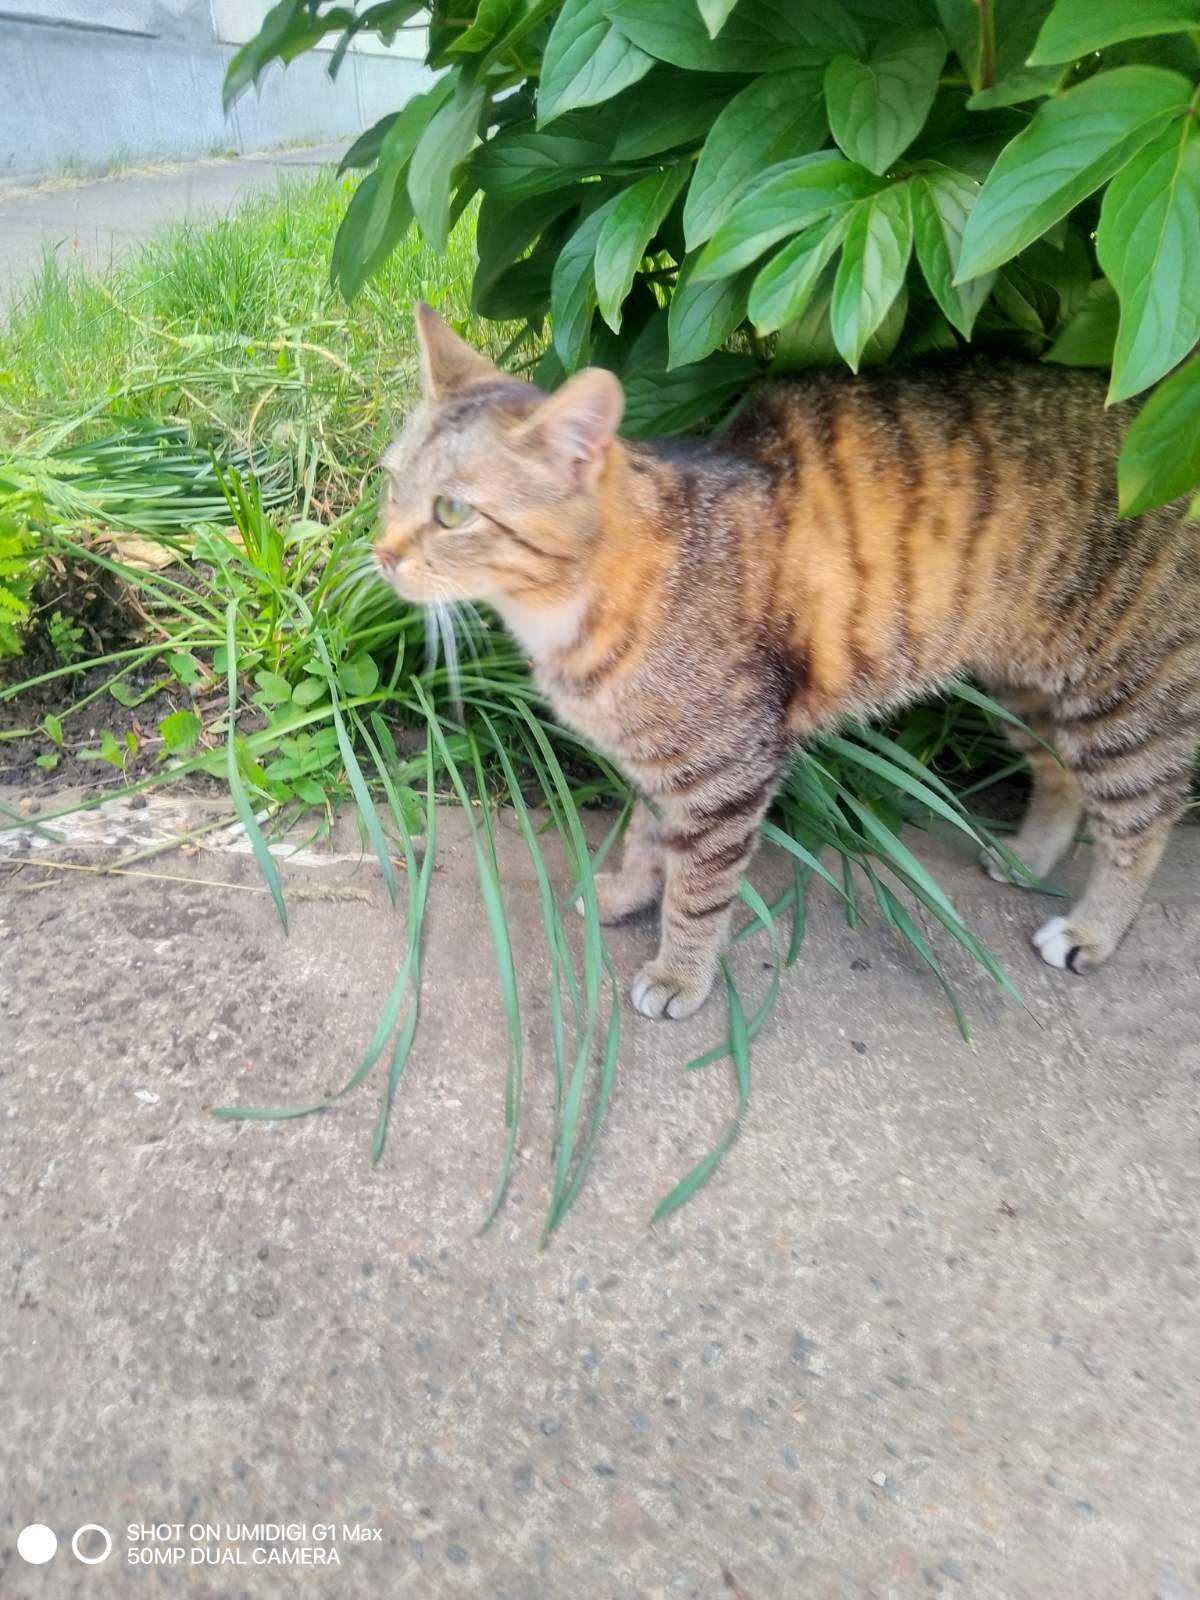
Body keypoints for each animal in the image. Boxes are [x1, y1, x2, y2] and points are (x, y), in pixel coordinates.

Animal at [376, 304, 1200, 1017]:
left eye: (451, 511)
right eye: (390, 483)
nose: (380, 554)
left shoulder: (727, 768)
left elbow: (698, 889)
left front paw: (679, 972)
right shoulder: (662, 763)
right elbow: (648, 841)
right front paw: (625, 894)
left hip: (1121, 702)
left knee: (1143, 823)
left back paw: (1094, 928)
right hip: (1021, 684)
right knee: (1058, 773)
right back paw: (1031, 857)